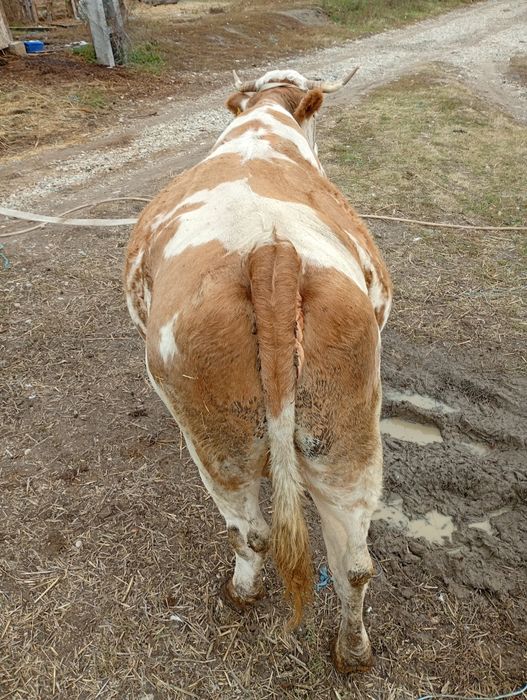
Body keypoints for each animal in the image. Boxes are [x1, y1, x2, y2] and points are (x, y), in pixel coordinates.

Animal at [124, 68, 392, 673]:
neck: (266, 115)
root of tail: (271, 254)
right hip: (345, 438)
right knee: (353, 563)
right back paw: (353, 651)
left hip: (217, 444)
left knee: (251, 533)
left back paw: (241, 593)